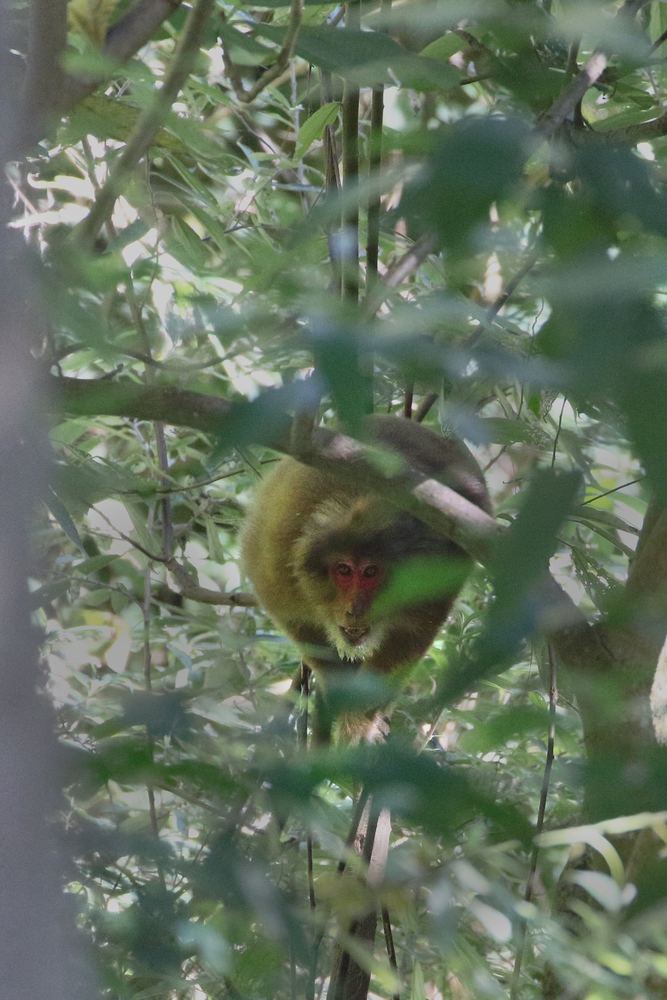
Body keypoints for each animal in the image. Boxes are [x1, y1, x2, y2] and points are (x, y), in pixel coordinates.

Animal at [241, 415, 490, 740]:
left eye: (371, 572)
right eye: (344, 570)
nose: (355, 609)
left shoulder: (434, 571)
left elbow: (412, 633)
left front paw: (360, 718)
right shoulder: (277, 563)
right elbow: (293, 618)